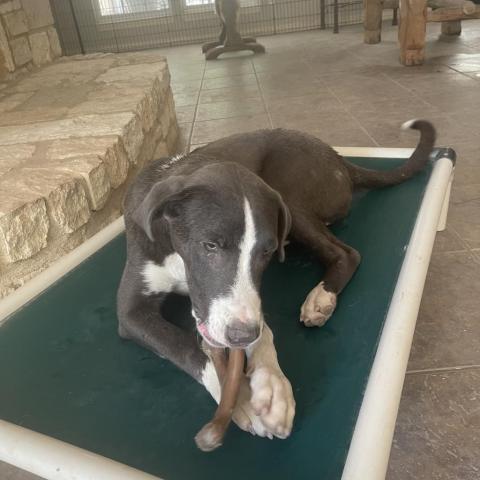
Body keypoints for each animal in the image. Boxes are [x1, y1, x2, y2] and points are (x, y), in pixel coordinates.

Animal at [116, 119, 436, 438]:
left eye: (266, 251)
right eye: (210, 245)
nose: (242, 336)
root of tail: (336, 156)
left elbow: (259, 327)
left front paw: (269, 384)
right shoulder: (131, 314)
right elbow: (185, 345)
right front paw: (240, 395)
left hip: (289, 195)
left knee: (347, 253)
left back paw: (322, 297)